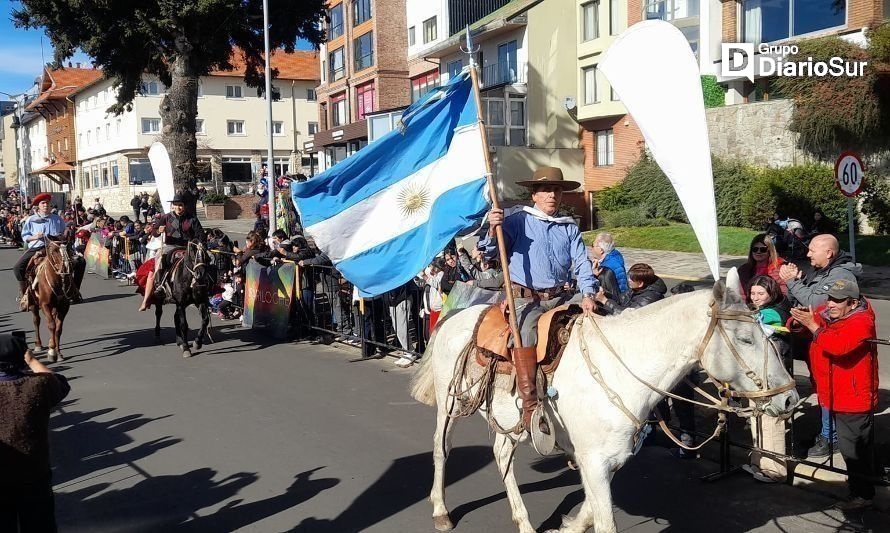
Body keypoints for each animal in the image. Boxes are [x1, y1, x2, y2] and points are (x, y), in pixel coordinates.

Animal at [410, 270, 796, 532]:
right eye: (745, 339)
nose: (790, 398)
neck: (622, 367)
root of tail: (454, 317)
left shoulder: (607, 460)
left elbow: (590, 511)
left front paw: (567, 526)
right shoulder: (594, 461)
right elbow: (605, 520)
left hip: (508, 419)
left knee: (502, 454)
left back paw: (523, 521)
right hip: (450, 403)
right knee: (440, 448)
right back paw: (440, 510)